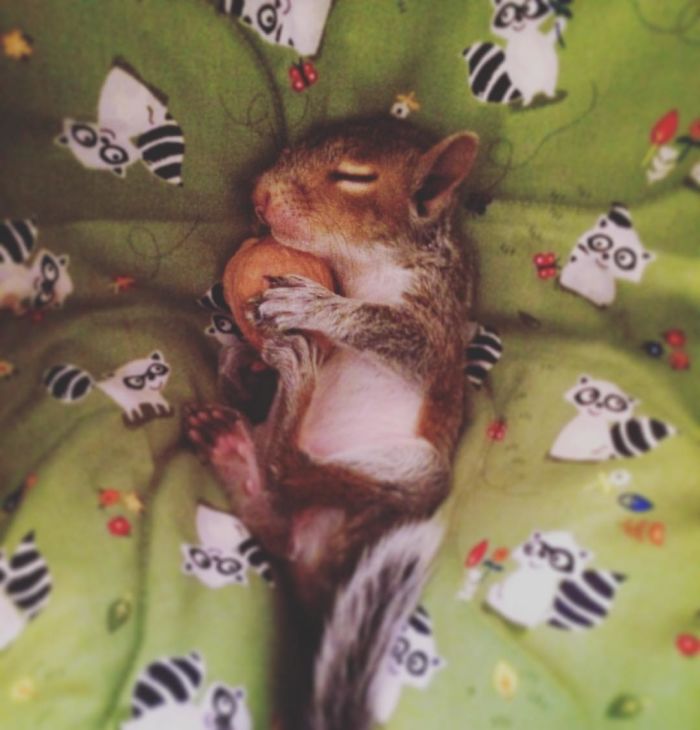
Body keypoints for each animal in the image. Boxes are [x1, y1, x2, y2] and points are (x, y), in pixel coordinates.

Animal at [184, 117, 478, 730]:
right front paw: (244, 358)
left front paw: (315, 308)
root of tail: (318, 568)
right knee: (271, 503)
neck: (361, 265)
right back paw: (234, 441)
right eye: (296, 144)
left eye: (354, 177)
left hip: (413, 472)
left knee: (290, 468)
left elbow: (383, 327)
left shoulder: (437, 326)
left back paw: (292, 374)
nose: (259, 197)